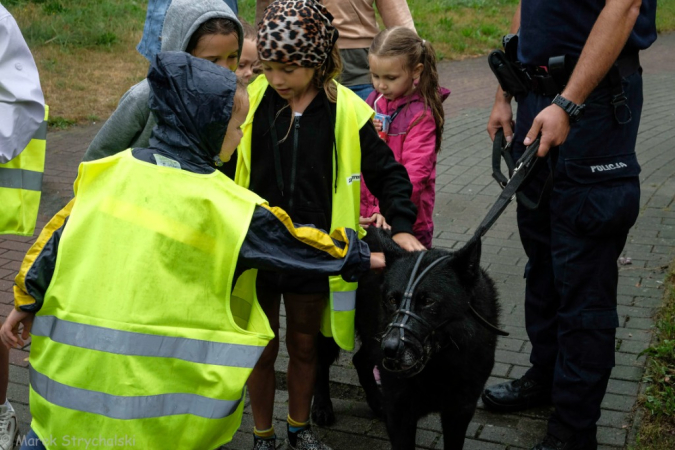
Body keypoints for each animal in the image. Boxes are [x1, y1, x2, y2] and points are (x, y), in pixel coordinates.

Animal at [312, 230, 502, 448]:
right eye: (392, 299)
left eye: (428, 302)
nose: (390, 349)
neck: (439, 362)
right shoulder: (400, 413)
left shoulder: (459, 411)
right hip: (337, 330)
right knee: (320, 362)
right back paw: (322, 406)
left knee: (359, 360)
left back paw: (377, 402)